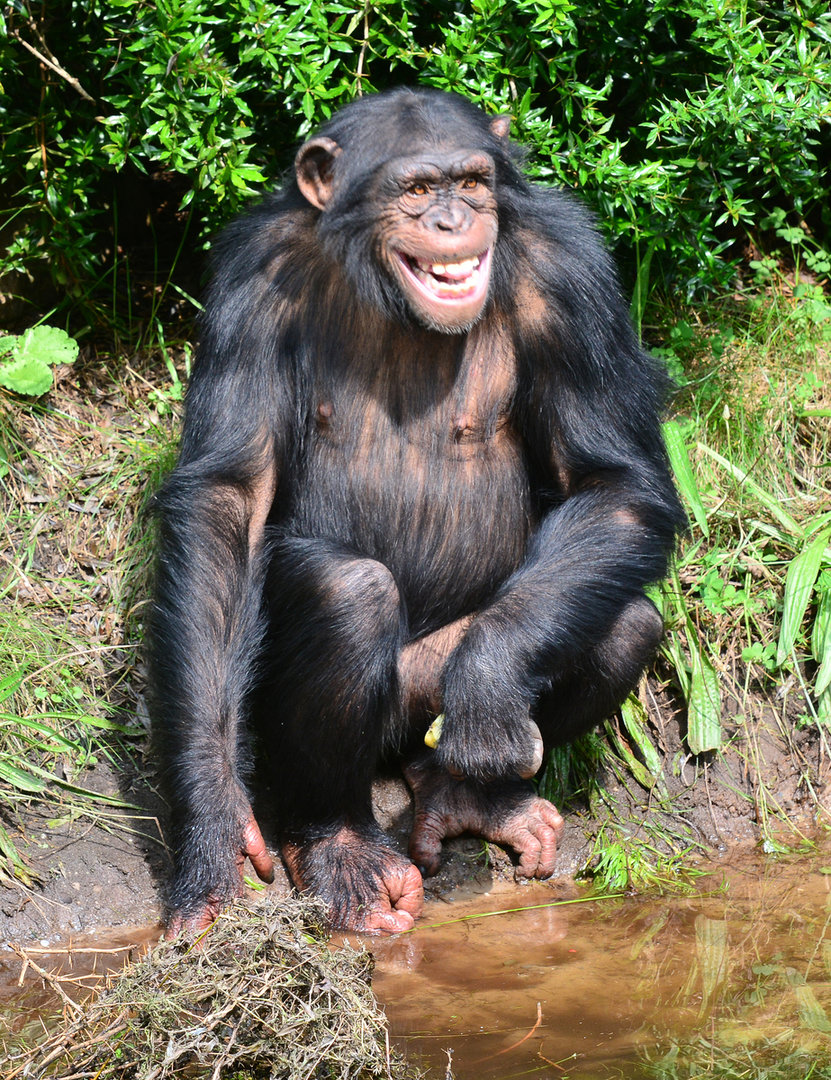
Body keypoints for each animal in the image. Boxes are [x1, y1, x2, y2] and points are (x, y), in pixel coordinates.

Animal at [152, 88, 682, 937]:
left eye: (469, 181)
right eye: (413, 188)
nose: (450, 218)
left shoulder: (574, 276)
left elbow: (613, 483)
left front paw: (492, 683)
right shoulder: (250, 280)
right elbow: (228, 499)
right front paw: (210, 830)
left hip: (426, 701)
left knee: (626, 622)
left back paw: (466, 796)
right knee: (349, 594)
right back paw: (342, 852)